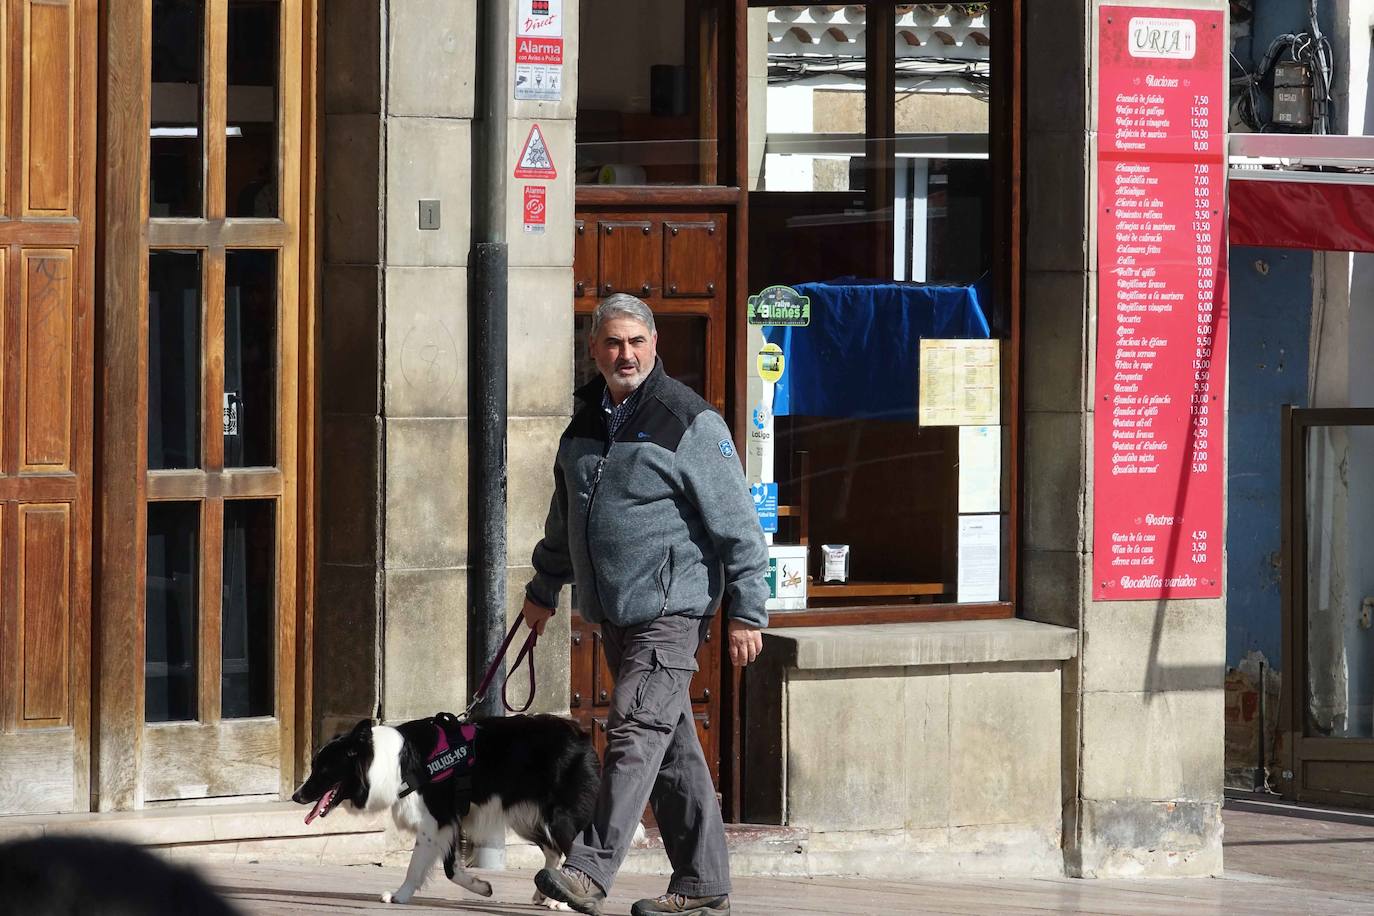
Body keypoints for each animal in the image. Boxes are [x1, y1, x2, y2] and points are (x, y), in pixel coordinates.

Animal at [292, 714, 599, 906]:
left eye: (323, 769)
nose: (296, 795)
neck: (396, 763)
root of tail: (583, 736)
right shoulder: (448, 822)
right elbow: (452, 869)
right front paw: (480, 886)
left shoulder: (435, 821)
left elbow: (416, 866)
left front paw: (401, 896)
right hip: (527, 818)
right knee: (553, 851)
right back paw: (545, 894)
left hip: (557, 819)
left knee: (576, 850)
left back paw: (565, 902)